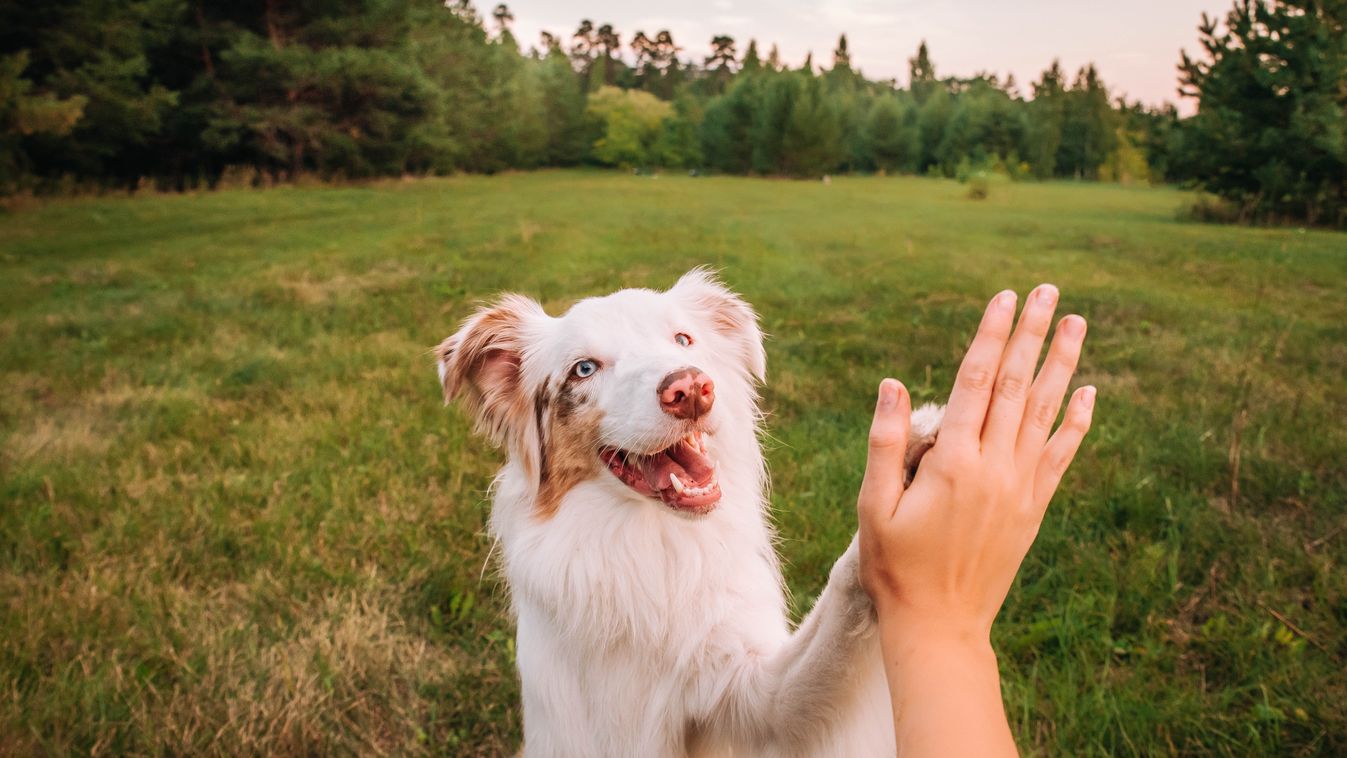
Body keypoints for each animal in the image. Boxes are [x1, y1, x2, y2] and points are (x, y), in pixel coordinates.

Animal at [436, 273, 942, 758]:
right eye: (584, 368)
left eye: (683, 339)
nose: (691, 389)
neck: (652, 544)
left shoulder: (754, 695)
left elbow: (839, 602)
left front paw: (910, 452)